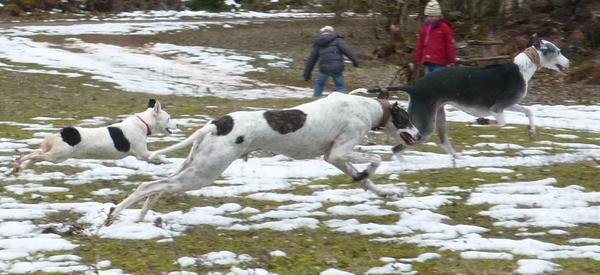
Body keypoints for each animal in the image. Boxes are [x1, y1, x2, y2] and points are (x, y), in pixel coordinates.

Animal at [11, 100, 176, 176]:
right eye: (169, 118)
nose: (177, 124)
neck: (143, 122)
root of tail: (63, 133)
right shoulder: (142, 154)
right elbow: (159, 155)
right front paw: (168, 162)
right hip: (57, 156)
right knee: (36, 156)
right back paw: (19, 162)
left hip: (55, 154)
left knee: (35, 155)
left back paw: (19, 166)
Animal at [105, 92, 420, 226]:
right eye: (408, 119)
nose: (418, 135)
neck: (369, 108)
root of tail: (216, 124)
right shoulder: (339, 152)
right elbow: (375, 160)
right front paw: (369, 172)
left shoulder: (333, 158)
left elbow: (365, 180)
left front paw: (381, 190)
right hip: (202, 174)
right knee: (150, 186)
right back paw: (115, 214)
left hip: (193, 167)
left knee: (156, 187)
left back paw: (139, 216)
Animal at [368, 34, 568, 158]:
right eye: (558, 51)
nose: (569, 62)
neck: (522, 68)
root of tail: (414, 87)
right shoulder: (497, 109)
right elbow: (502, 124)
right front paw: (482, 123)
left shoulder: (508, 105)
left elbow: (529, 111)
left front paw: (531, 131)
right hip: (424, 126)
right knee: (397, 148)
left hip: (438, 118)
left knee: (442, 143)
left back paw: (456, 160)